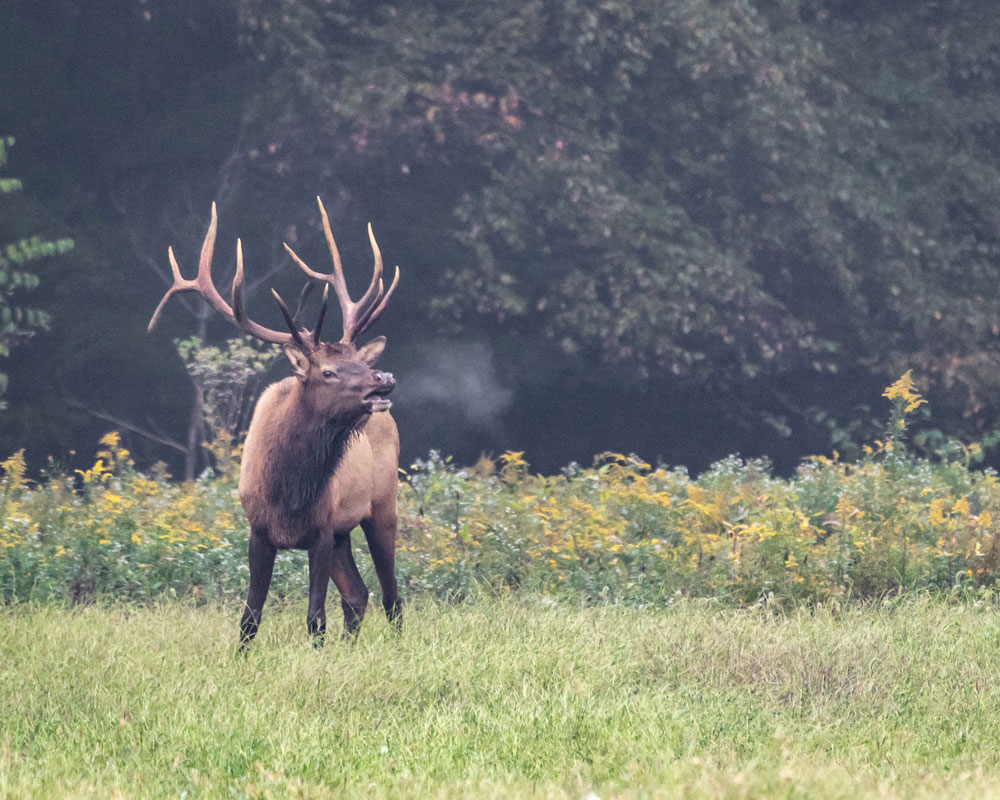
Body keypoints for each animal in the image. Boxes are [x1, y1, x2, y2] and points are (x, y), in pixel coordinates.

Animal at [146, 197, 402, 648]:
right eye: (328, 372)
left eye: (358, 360)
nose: (382, 378)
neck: (288, 492)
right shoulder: (259, 531)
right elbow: (249, 616)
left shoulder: (320, 530)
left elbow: (315, 618)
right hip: (344, 531)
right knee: (358, 594)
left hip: (383, 504)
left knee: (392, 595)